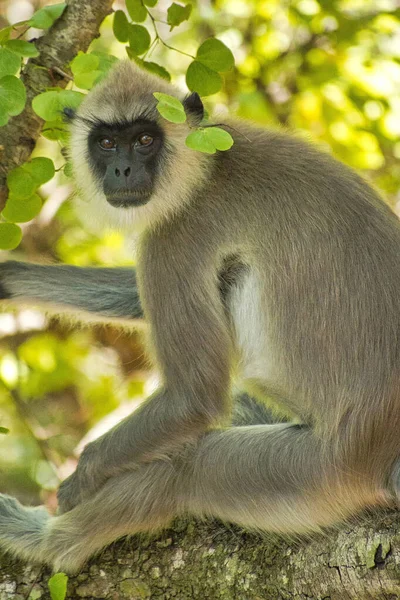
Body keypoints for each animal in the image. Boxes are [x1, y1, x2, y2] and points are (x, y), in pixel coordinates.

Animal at [0, 59, 400, 572]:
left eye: (144, 139)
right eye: (106, 142)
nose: (122, 168)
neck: (207, 168)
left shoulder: (178, 230)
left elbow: (193, 397)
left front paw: (81, 479)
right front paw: (9, 277)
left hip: (320, 471)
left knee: (187, 468)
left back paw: (47, 542)